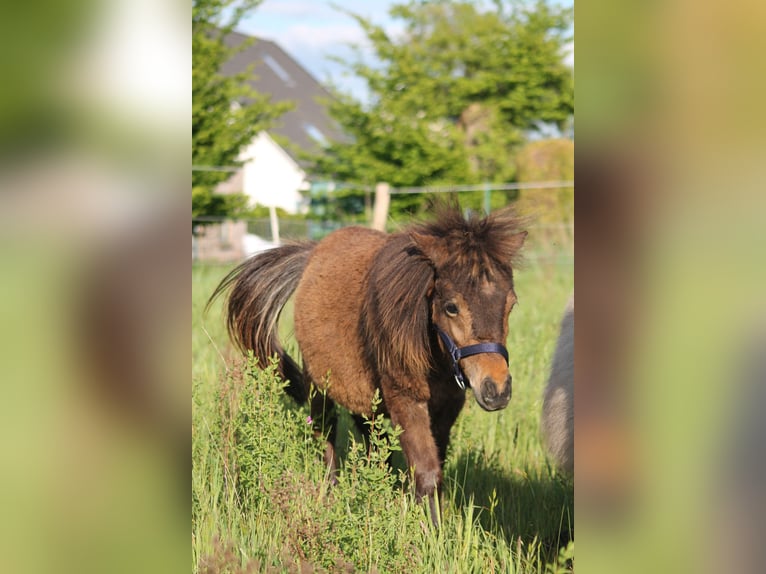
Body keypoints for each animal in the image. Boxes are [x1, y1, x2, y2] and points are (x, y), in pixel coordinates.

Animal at [208, 205, 528, 524]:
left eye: (511, 304)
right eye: (451, 307)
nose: (497, 389)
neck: (433, 354)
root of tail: (313, 253)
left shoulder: (448, 407)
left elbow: (435, 466)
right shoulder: (406, 401)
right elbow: (427, 473)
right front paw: (429, 532)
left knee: (373, 440)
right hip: (318, 387)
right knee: (326, 436)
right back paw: (331, 492)